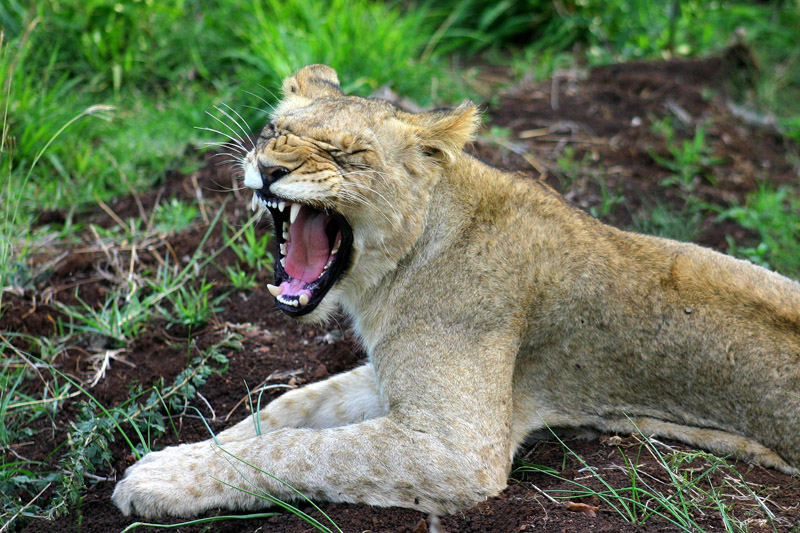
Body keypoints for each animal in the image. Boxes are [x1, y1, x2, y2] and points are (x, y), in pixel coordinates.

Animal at [112, 64, 800, 516]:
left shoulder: (458, 446)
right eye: (272, 132)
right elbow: (284, 410)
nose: (269, 168)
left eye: (349, 154)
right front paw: (179, 451)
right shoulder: (387, 376)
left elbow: (297, 450)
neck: (390, 275)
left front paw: (158, 480)